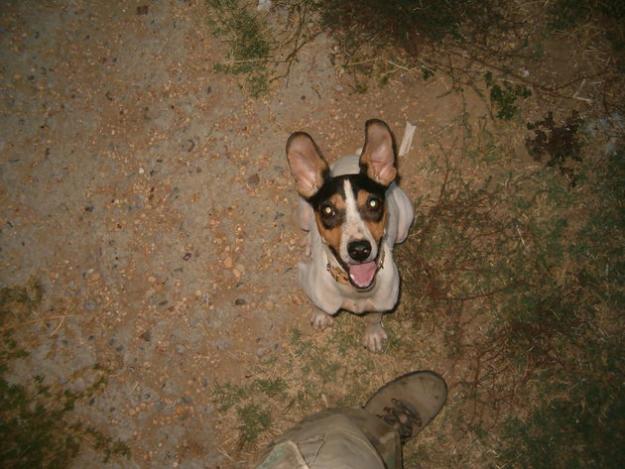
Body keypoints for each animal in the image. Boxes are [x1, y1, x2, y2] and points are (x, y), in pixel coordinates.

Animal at [288, 119, 414, 350]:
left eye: (373, 203)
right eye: (327, 210)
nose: (360, 250)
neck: (354, 289)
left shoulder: (385, 301)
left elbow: (374, 317)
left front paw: (373, 333)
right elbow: (319, 305)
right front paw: (321, 316)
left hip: (404, 226)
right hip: (301, 213)